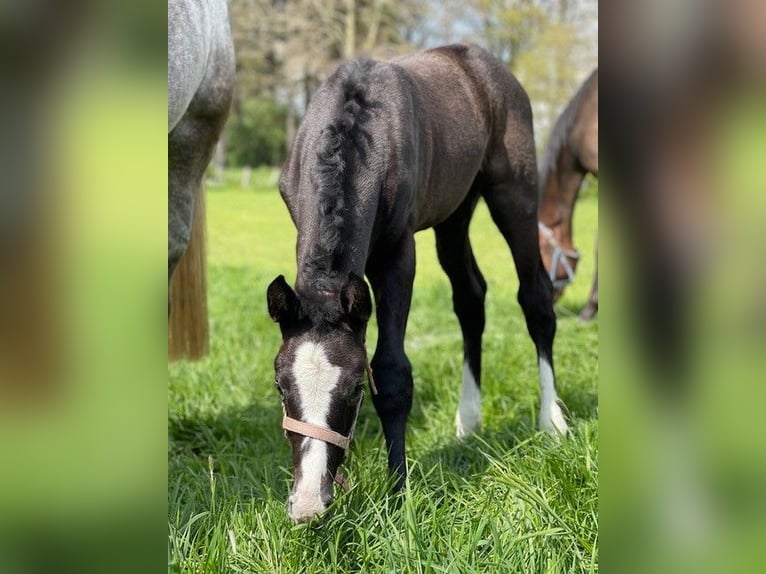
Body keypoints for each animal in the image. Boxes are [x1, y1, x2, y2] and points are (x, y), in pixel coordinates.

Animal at [268, 42, 568, 524]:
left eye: (356, 388)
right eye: (280, 387)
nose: (309, 504)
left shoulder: (396, 255)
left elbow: (393, 374)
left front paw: (397, 495)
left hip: (514, 192)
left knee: (535, 298)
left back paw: (552, 421)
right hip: (456, 213)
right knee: (470, 298)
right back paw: (468, 421)